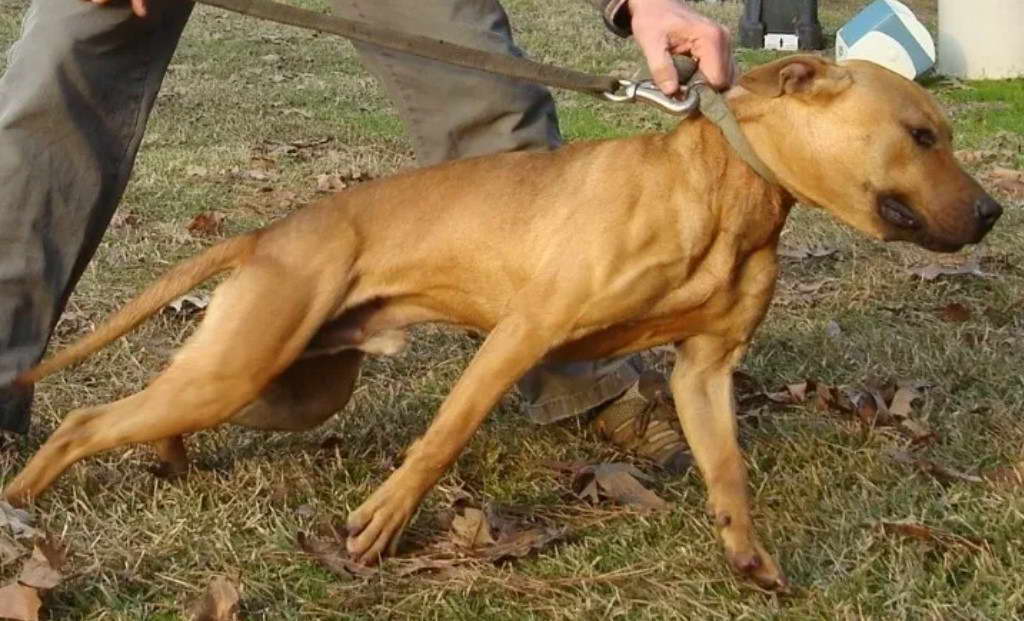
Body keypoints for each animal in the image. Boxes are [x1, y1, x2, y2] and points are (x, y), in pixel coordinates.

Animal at [4, 55, 1003, 590]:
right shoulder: (520, 336)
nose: (995, 211)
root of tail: (271, 231)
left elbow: (727, 470)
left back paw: (166, 459)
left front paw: (748, 554)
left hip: (278, 386)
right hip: (244, 366)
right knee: (91, 418)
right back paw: (23, 497)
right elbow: (442, 437)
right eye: (921, 134)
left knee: (151, 410)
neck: (727, 188)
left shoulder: (704, 372)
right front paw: (382, 523)